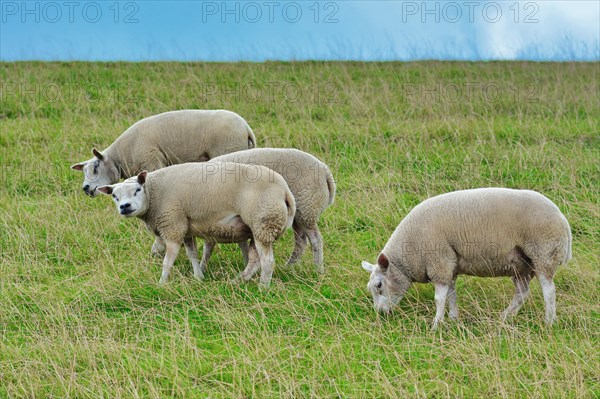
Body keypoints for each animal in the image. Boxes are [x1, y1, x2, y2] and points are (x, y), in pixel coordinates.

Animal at [97, 161, 296, 290]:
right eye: (114, 196)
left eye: (137, 190)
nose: (125, 206)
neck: (153, 193)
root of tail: (285, 190)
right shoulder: (185, 227)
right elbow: (192, 254)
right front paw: (198, 276)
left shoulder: (173, 225)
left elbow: (168, 261)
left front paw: (162, 283)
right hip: (258, 228)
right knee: (255, 261)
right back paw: (237, 282)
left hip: (264, 222)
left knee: (267, 262)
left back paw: (263, 288)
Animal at [360, 189, 572, 330]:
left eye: (379, 285)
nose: (381, 313)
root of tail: (562, 217)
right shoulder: (450, 265)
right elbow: (451, 295)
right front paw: (453, 319)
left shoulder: (439, 262)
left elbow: (439, 298)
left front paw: (436, 324)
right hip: (522, 265)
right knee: (522, 293)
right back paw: (505, 317)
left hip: (543, 254)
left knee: (549, 291)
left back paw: (549, 321)